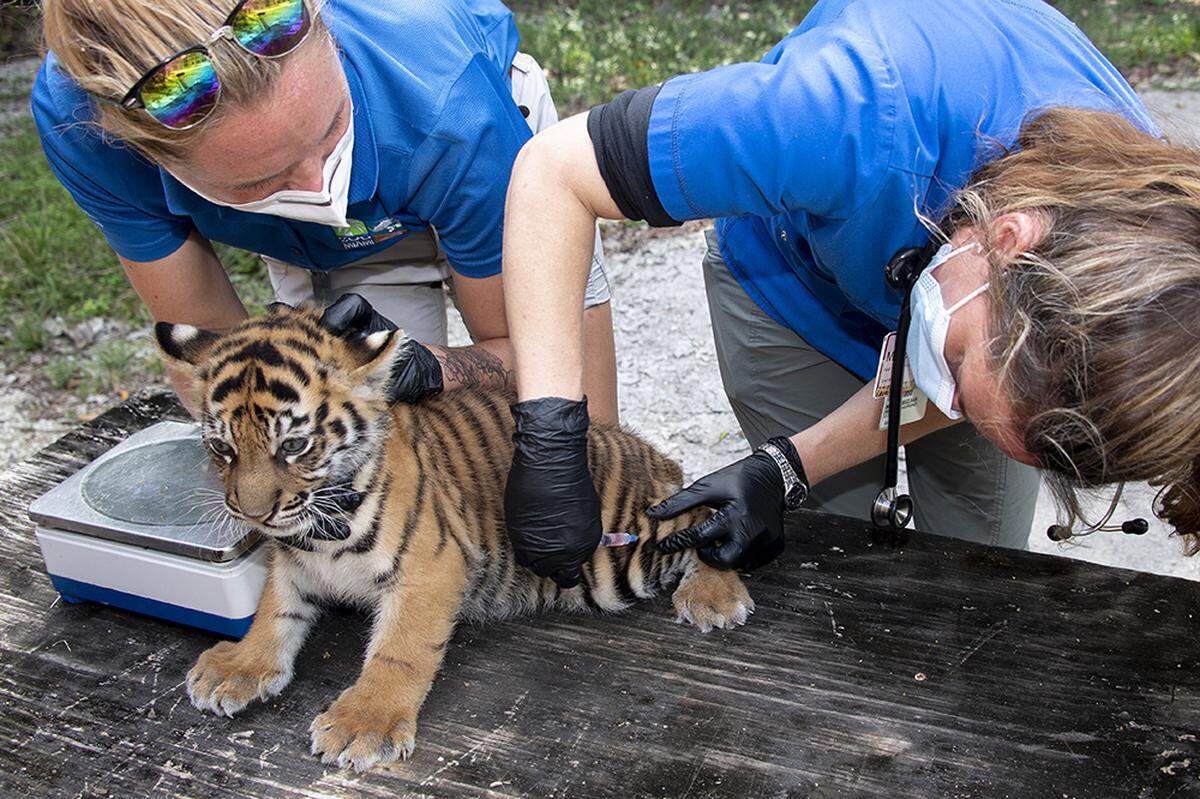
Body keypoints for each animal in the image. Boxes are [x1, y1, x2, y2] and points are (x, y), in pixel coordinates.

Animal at [154, 304, 754, 773]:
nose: (252, 514)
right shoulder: (290, 561)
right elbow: (273, 611)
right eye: (222, 448)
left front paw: (363, 724)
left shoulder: (429, 568)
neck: (319, 528)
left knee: (703, 519)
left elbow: (399, 651)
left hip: (621, 553)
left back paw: (715, 594)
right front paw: (239, 668)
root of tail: (647, 452)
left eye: (294, 446)